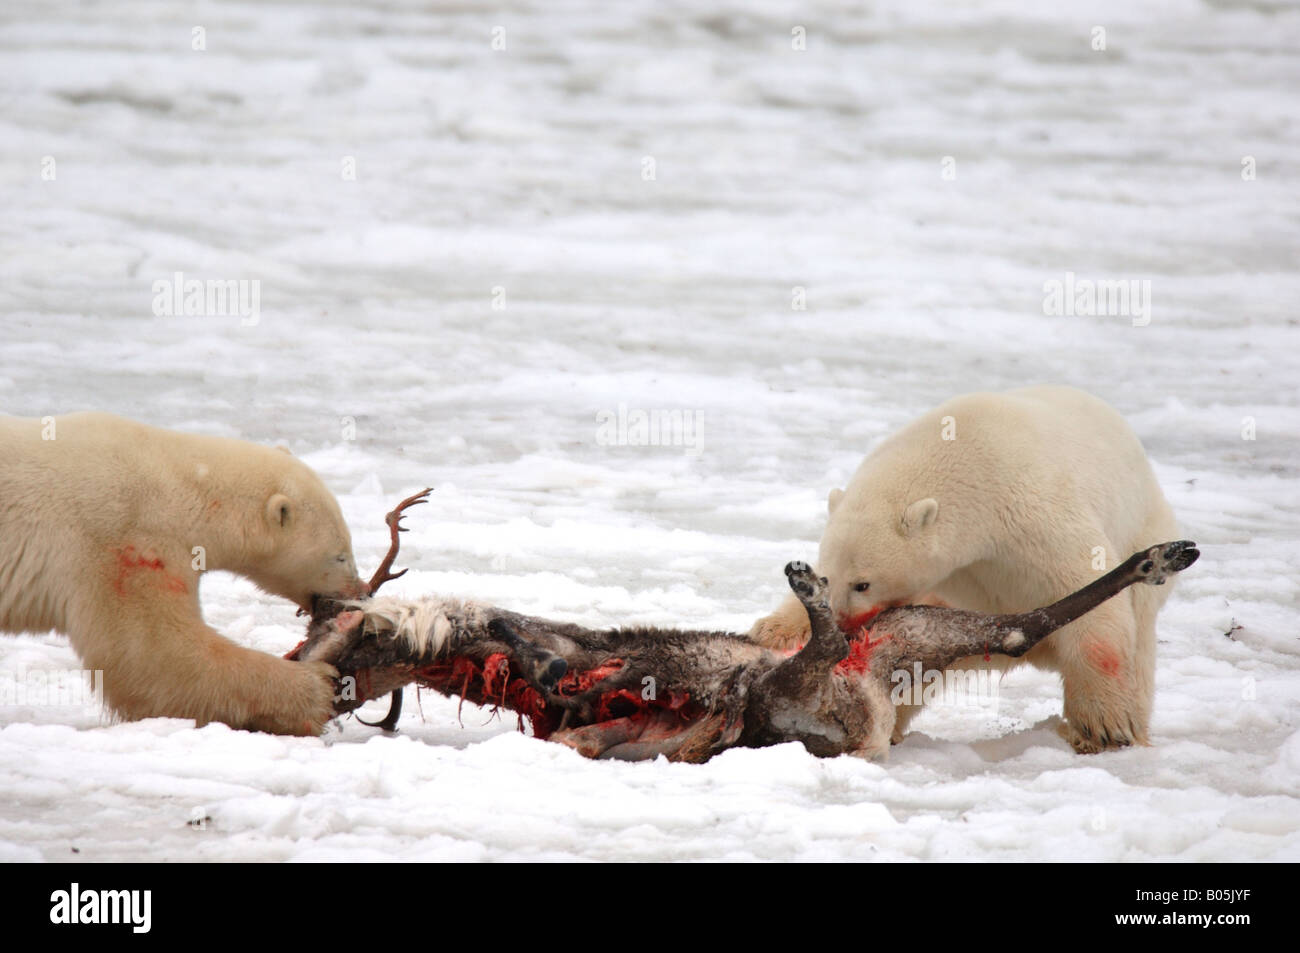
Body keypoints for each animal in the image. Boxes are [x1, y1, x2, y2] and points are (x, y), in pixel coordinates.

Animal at [1, 410, 366, 738]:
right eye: (340, 555)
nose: (360, 590)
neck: (179, 487)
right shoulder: (126, 544)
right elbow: (153, 652)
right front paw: (317, 685)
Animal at [748, 384, 1185, 748]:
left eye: (863, 584)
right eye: (829, 577)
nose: (844, 625)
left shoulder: (1031, 509)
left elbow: (1083, 582)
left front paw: (1104, 724)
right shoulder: (959, 574)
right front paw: (774, 629)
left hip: (1145, 532)